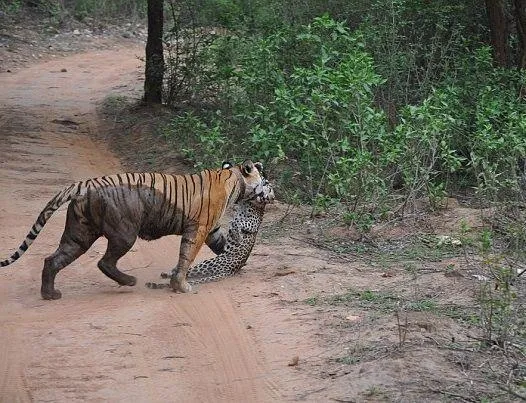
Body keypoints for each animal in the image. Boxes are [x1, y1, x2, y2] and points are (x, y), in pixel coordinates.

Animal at [0, 161, 268, 300]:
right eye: (264, 178)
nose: (270, 189)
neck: (234, 180)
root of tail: (86, 184)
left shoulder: (211, 229)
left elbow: (220, 244)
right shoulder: (198, 229)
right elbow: (186, 258)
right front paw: (181, 286)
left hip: (79, 234)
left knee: (52, 260)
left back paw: (50, 294)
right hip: (124, 233)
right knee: (104, 262)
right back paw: (129, 281)